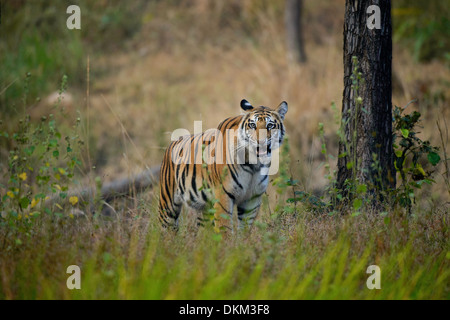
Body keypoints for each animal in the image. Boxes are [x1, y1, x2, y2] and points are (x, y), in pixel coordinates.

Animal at [158, 99, 288, 231]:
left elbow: (245, 230)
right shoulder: (223, 195)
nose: (260, 142)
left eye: (270, 125)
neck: (254, 164)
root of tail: (172, 143)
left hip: (204, 209)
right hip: (168, 206)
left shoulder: (252, 199)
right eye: (252, 125)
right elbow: (224, 229)